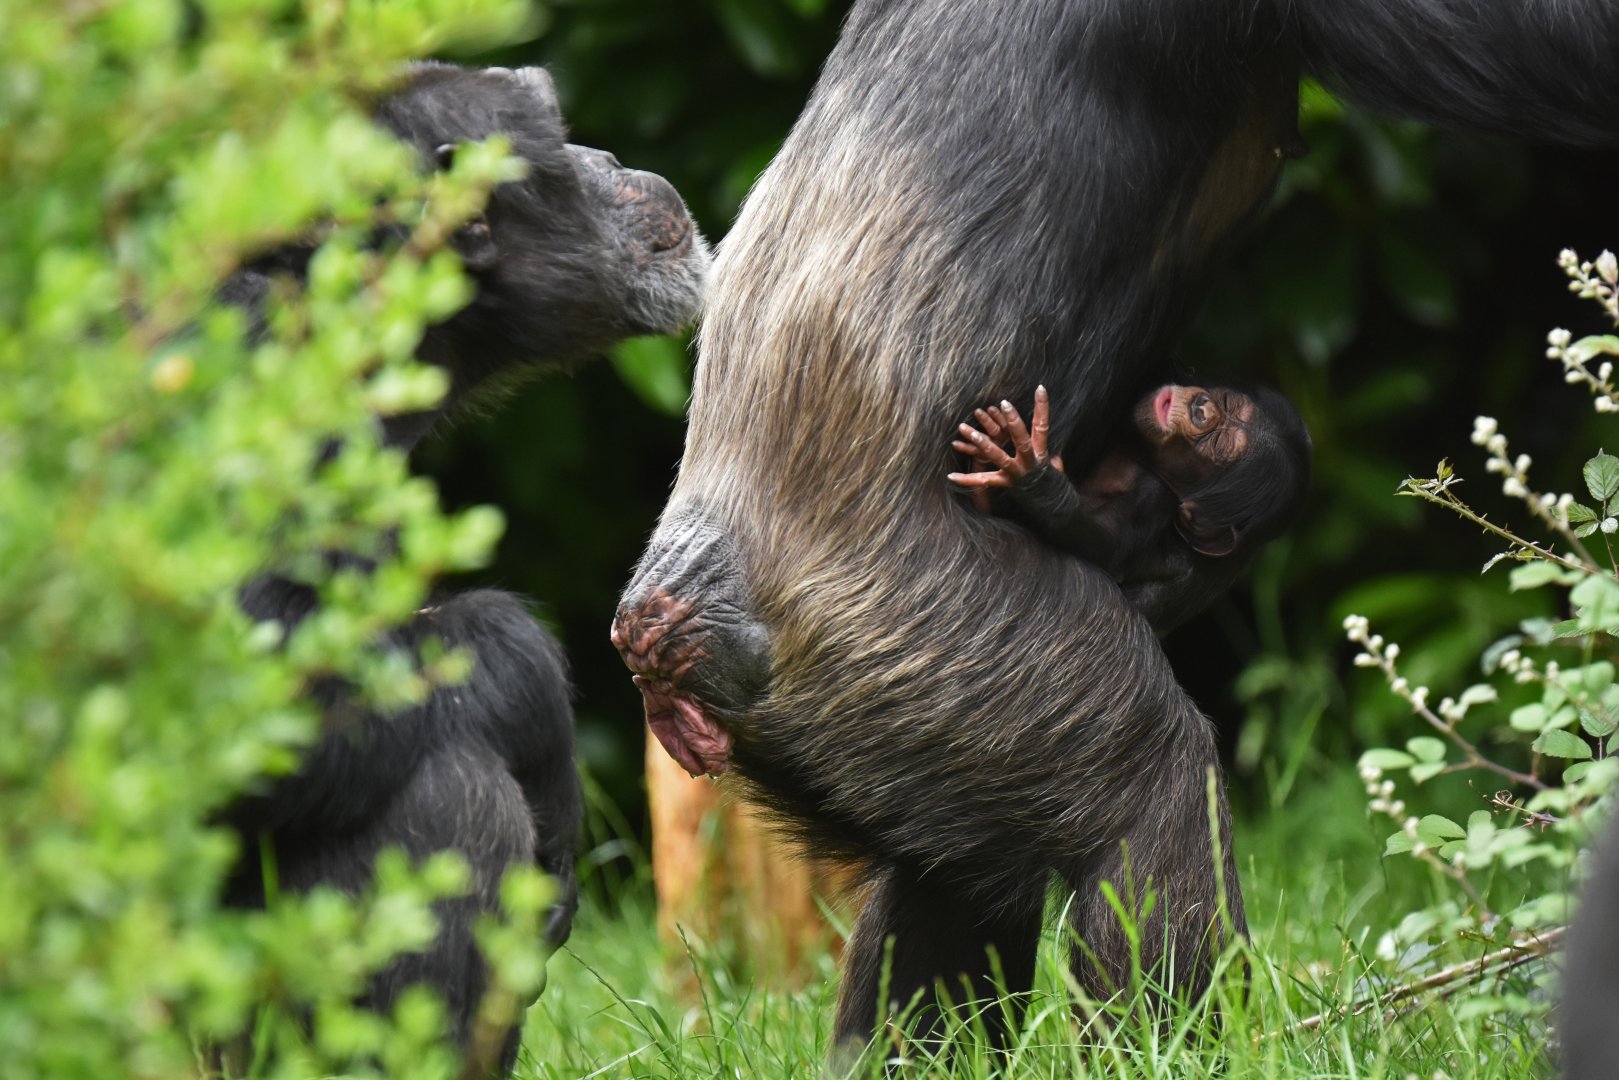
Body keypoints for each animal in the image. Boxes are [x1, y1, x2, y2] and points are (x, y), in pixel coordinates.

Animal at [948, 382, 1310, 635]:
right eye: (1227, 404)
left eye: (1219, 445)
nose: (1201, 408)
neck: (1141, 460)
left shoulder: (1151, 499)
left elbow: (1108, 548)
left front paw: (1034, 472)